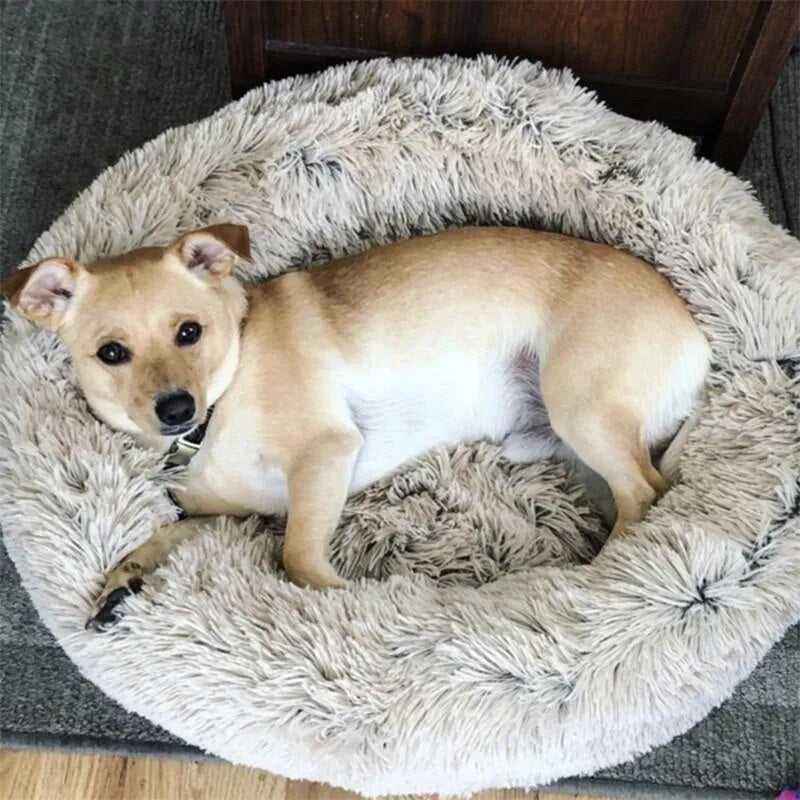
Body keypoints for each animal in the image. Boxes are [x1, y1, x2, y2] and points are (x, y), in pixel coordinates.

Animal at [3, 225, 708, 624]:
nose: (176, 408)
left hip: (580, 408)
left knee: (644, 493)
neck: (220, 409)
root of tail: (698, 339)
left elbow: (297, 557)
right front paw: (127, 575)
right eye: (111, 353)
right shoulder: (240, 513)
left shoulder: (324, 456)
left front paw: (340, 599)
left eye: (189, 333)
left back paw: (604, 580)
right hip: (560, 446)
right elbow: (171, 533)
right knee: (633, 494)